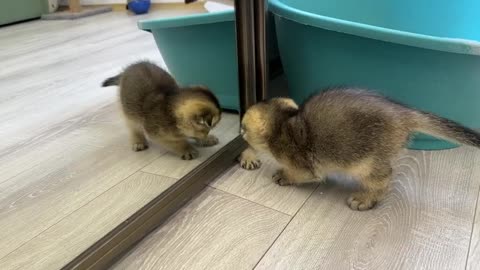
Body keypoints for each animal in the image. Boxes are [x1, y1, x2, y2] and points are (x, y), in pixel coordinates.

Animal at [240, 87, 480, 210]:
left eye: (243, 127)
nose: (240, 133)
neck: (284, 123)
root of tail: (403, 113)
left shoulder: (304, 166)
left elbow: (299, 174)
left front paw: (284, 175)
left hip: (367, 162)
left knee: (384, 178)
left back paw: (365, 199)